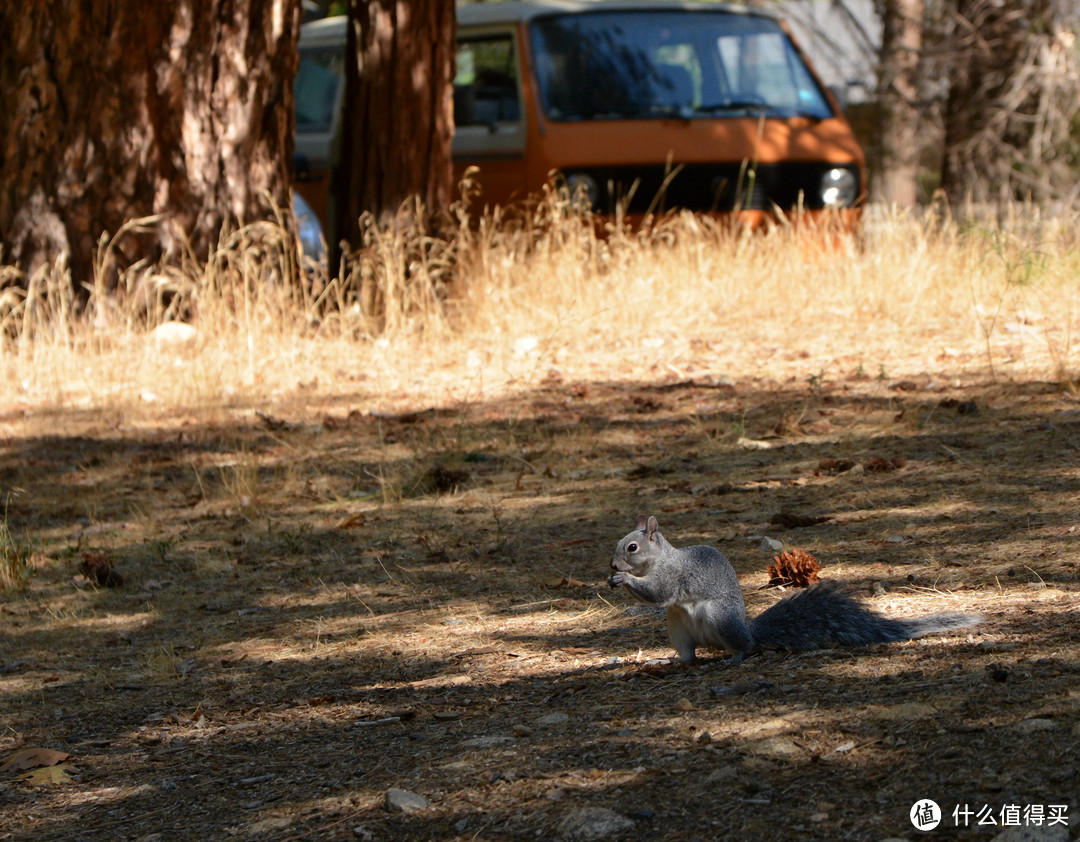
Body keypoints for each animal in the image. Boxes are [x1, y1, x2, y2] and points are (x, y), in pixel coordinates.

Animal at [609, 513, 980, 664]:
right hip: (678, 628)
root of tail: (746, 629)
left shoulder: (672, 576)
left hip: (719, 619)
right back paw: (668, 660)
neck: (660, 559)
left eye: (632, 547)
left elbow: (659, 593)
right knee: (688, 655)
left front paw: (625, 580)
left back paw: (735, 657)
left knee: (745, 647)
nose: (612, 566)